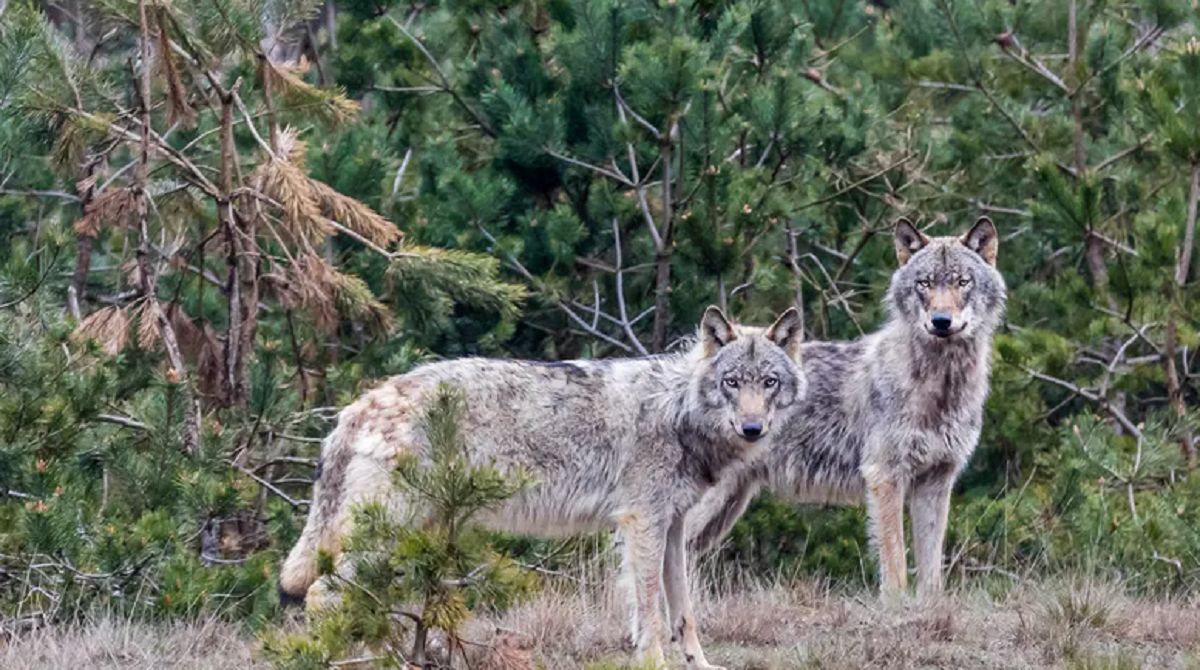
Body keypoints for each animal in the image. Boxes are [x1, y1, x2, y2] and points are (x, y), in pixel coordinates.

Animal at [278, 307, 806, 667]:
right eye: (732, 382)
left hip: (409, 533)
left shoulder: (672, 525)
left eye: (769, 382)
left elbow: (684, 612)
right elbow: (651, 613)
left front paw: (702, 664)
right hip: (389, 531)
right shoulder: (642, 523)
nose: (753, 429)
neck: (677, 409)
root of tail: (357, 405)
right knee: (324, 594)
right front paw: (653, 662)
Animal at [686, 219, 1003, 597]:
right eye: (924, 283)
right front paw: (896, 607)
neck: (940, 386)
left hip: (726, 507)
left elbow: (931, 571)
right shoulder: (885, 477)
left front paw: (930, 607)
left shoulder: (936, 482)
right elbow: (895, 562)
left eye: (962, 281)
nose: (941, 321)